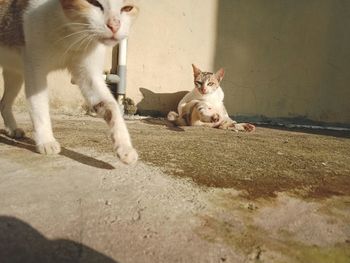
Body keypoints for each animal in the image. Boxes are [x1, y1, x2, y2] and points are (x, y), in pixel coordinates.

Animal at [0, 0, 139, 165]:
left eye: (127, 8)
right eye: (94, 3)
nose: (114, 25)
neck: (71, 36)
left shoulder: (89, 74)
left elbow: (111, 105)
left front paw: (125, 148)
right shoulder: (34, 68)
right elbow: (38, 104)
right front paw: (46, 141)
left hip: (15, 72)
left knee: (4, 103)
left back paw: (12, 129)